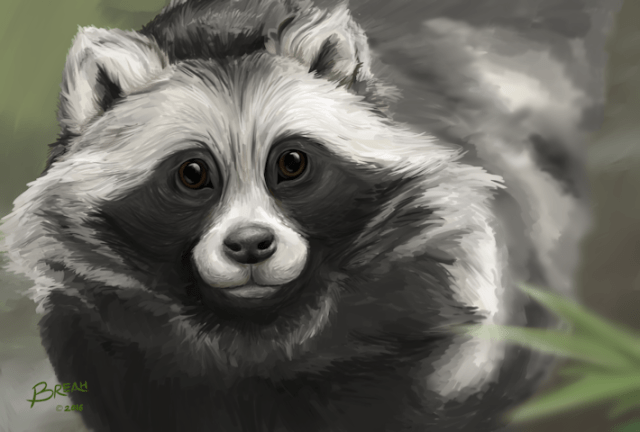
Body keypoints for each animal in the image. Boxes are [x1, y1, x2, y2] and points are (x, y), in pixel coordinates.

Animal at [1, 0, 595, 430]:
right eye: (191, 173)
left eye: (291, 162)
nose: (250, 245)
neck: (256, 326)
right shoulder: (112, 354)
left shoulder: (423, 322)